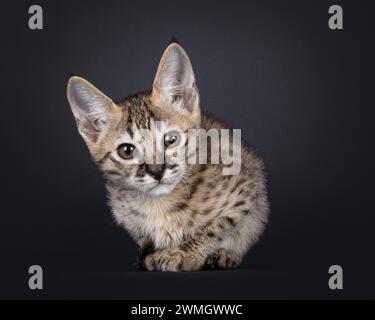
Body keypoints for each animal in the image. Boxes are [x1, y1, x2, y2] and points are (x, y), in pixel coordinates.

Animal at [66, 39, 268, 270]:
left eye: (171, 140)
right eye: (126, 151)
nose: (157, 172)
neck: (159, 204)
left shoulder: (246, 188)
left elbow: (216, 226)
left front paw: (184, 252)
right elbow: (145, 238)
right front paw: (156, 253)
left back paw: (224, 255)